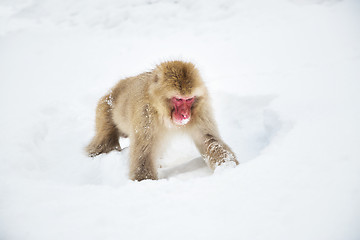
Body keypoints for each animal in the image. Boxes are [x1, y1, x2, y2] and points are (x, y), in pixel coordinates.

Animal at [86, 60, 239, 180]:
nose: (185, 114)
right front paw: (145, 181)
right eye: (178, 99)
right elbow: (144, 150)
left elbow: (208, 139)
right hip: (104, 108)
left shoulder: (200, 110)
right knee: (105, 141)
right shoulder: (145, 114)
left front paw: (228, 168)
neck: (162, 111)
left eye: (189, 99)